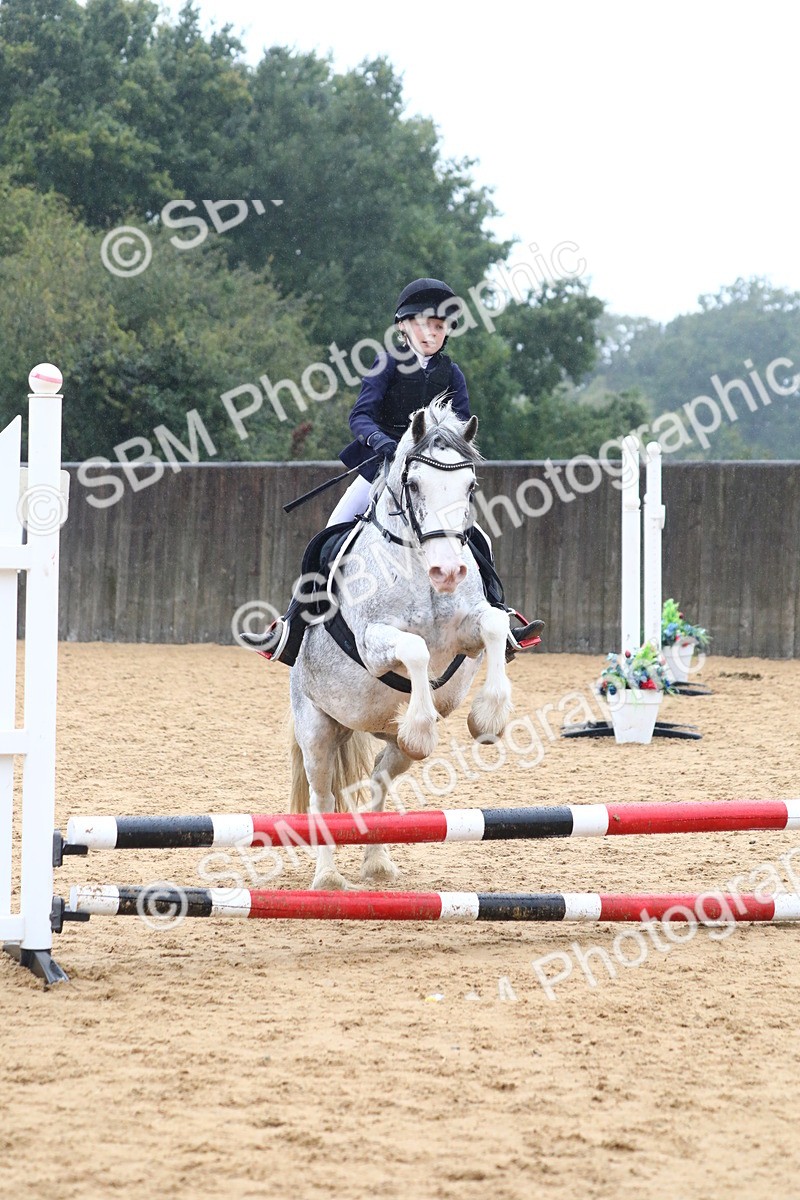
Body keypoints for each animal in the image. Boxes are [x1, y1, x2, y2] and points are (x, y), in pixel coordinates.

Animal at [288, 397, 514, 890]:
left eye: (470, 486)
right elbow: (415, 649)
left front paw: (487, 718)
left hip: (386, 744)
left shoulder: (469, 632)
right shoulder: (374, 644)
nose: (447, 572)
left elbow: (492, 625)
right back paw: (328, 878)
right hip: (316, 726)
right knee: (322, 794)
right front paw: (423, 726)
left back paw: (376, 862)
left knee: (378, 778)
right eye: (413, 484)